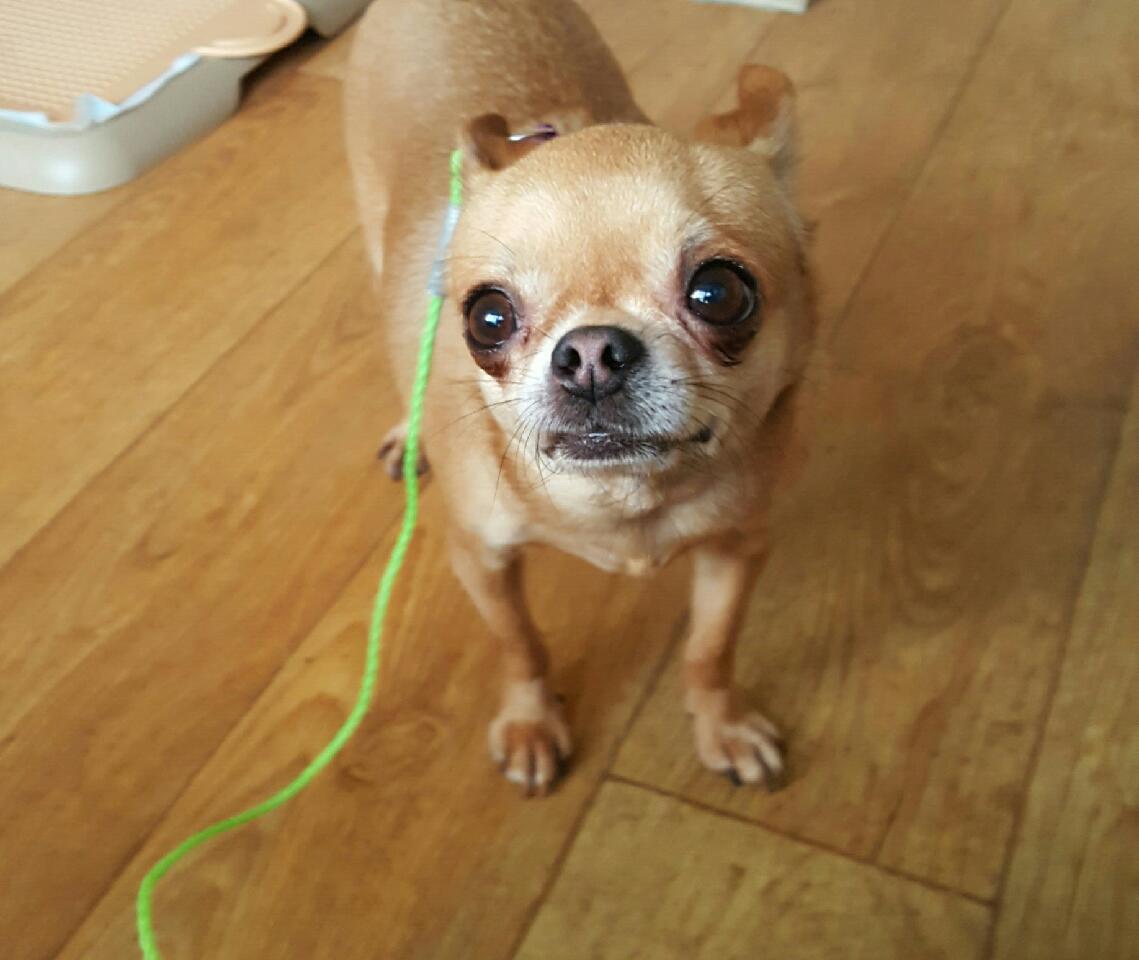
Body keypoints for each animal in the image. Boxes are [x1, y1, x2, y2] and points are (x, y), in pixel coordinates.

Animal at [346, 0, 816, 794]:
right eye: (487, 318)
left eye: (719, 294)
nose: (590, 354)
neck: (618, 502)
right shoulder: (481, 558)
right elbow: (520, 645)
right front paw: (531, 721)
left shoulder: (738, 546)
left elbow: (710, 646)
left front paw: (720, 723)